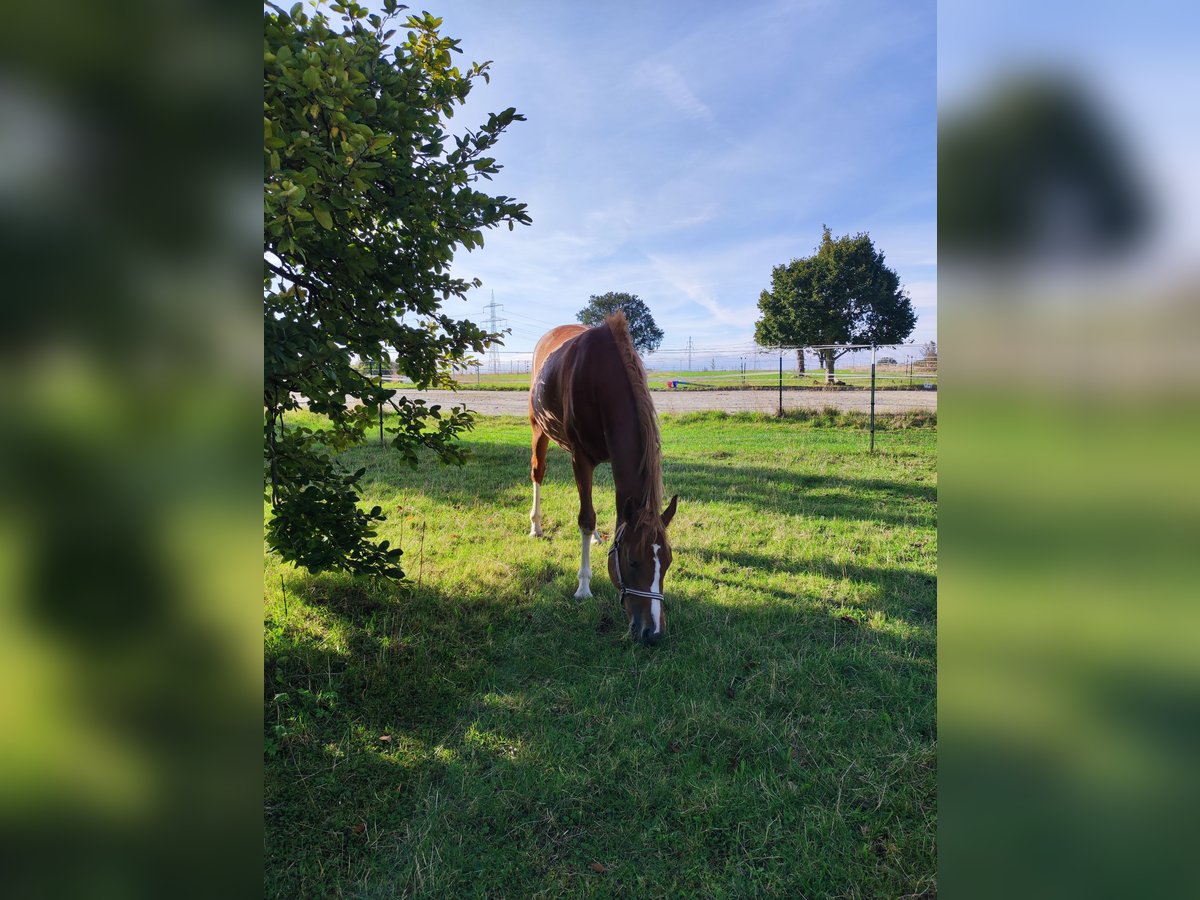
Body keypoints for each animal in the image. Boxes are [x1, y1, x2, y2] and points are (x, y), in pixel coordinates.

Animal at [530, 314, 681, 643]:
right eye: (632, 561)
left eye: (668, 562)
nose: (653, 631)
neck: (601, 376)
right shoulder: (580, 457)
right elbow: (586, 518)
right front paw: (583, 586)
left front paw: (600, 537)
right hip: (538, 428)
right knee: (538, 472)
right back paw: (535, 525)